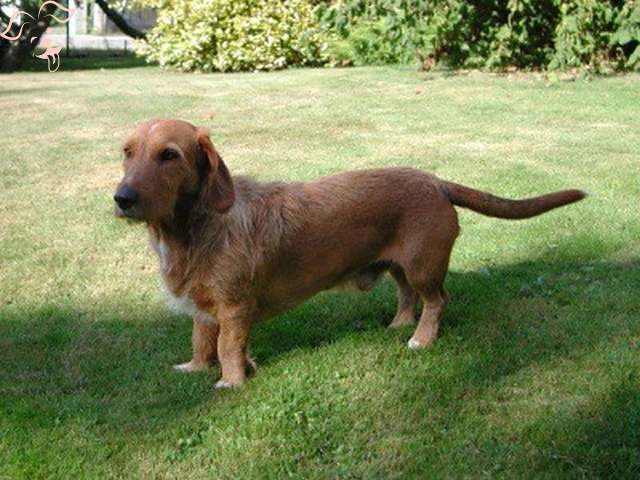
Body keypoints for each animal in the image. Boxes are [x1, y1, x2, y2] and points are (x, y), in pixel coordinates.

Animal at [114, 120, 584, 390]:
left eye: (169, 155)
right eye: (127, 151)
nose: (122, 199)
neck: (193, 228)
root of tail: (436, 182)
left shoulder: (233, 310)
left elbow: (228, 349)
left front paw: (231, 383)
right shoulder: (204, 309)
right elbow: (201, 341)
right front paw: (195, 369)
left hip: (423, 267)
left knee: (437, 300)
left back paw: (421, 338)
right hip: (397, 267)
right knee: (406, 296)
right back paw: (399, 324)